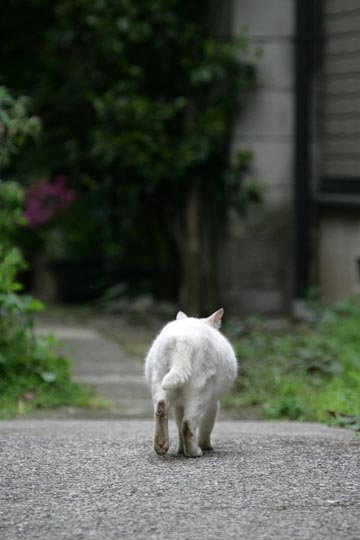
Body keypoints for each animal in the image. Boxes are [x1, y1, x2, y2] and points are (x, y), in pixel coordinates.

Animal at [145, 310, 238, 458]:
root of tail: (182, 340)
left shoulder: (178, 405)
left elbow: (178, 426)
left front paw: (180, 450)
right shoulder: (213, 404)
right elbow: (206, 427)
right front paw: (205, 446)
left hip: (160, 380)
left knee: (161, 409)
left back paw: (161, 445)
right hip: (201, 392)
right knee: (188, 424)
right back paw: (195, 452)